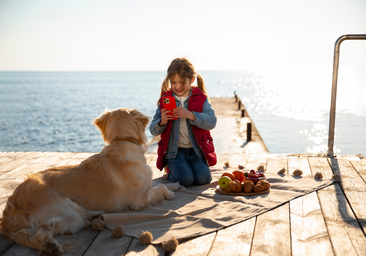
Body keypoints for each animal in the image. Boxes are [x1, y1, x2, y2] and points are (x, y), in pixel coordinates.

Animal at [0, 107, 179, 254]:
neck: (122, 141)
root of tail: (12, 205)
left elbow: (158, 183)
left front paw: (175, 185)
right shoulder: (138, 200)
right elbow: (160, 188)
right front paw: (170, 194)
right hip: (69, 211)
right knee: (44, 228)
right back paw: (51, 245)